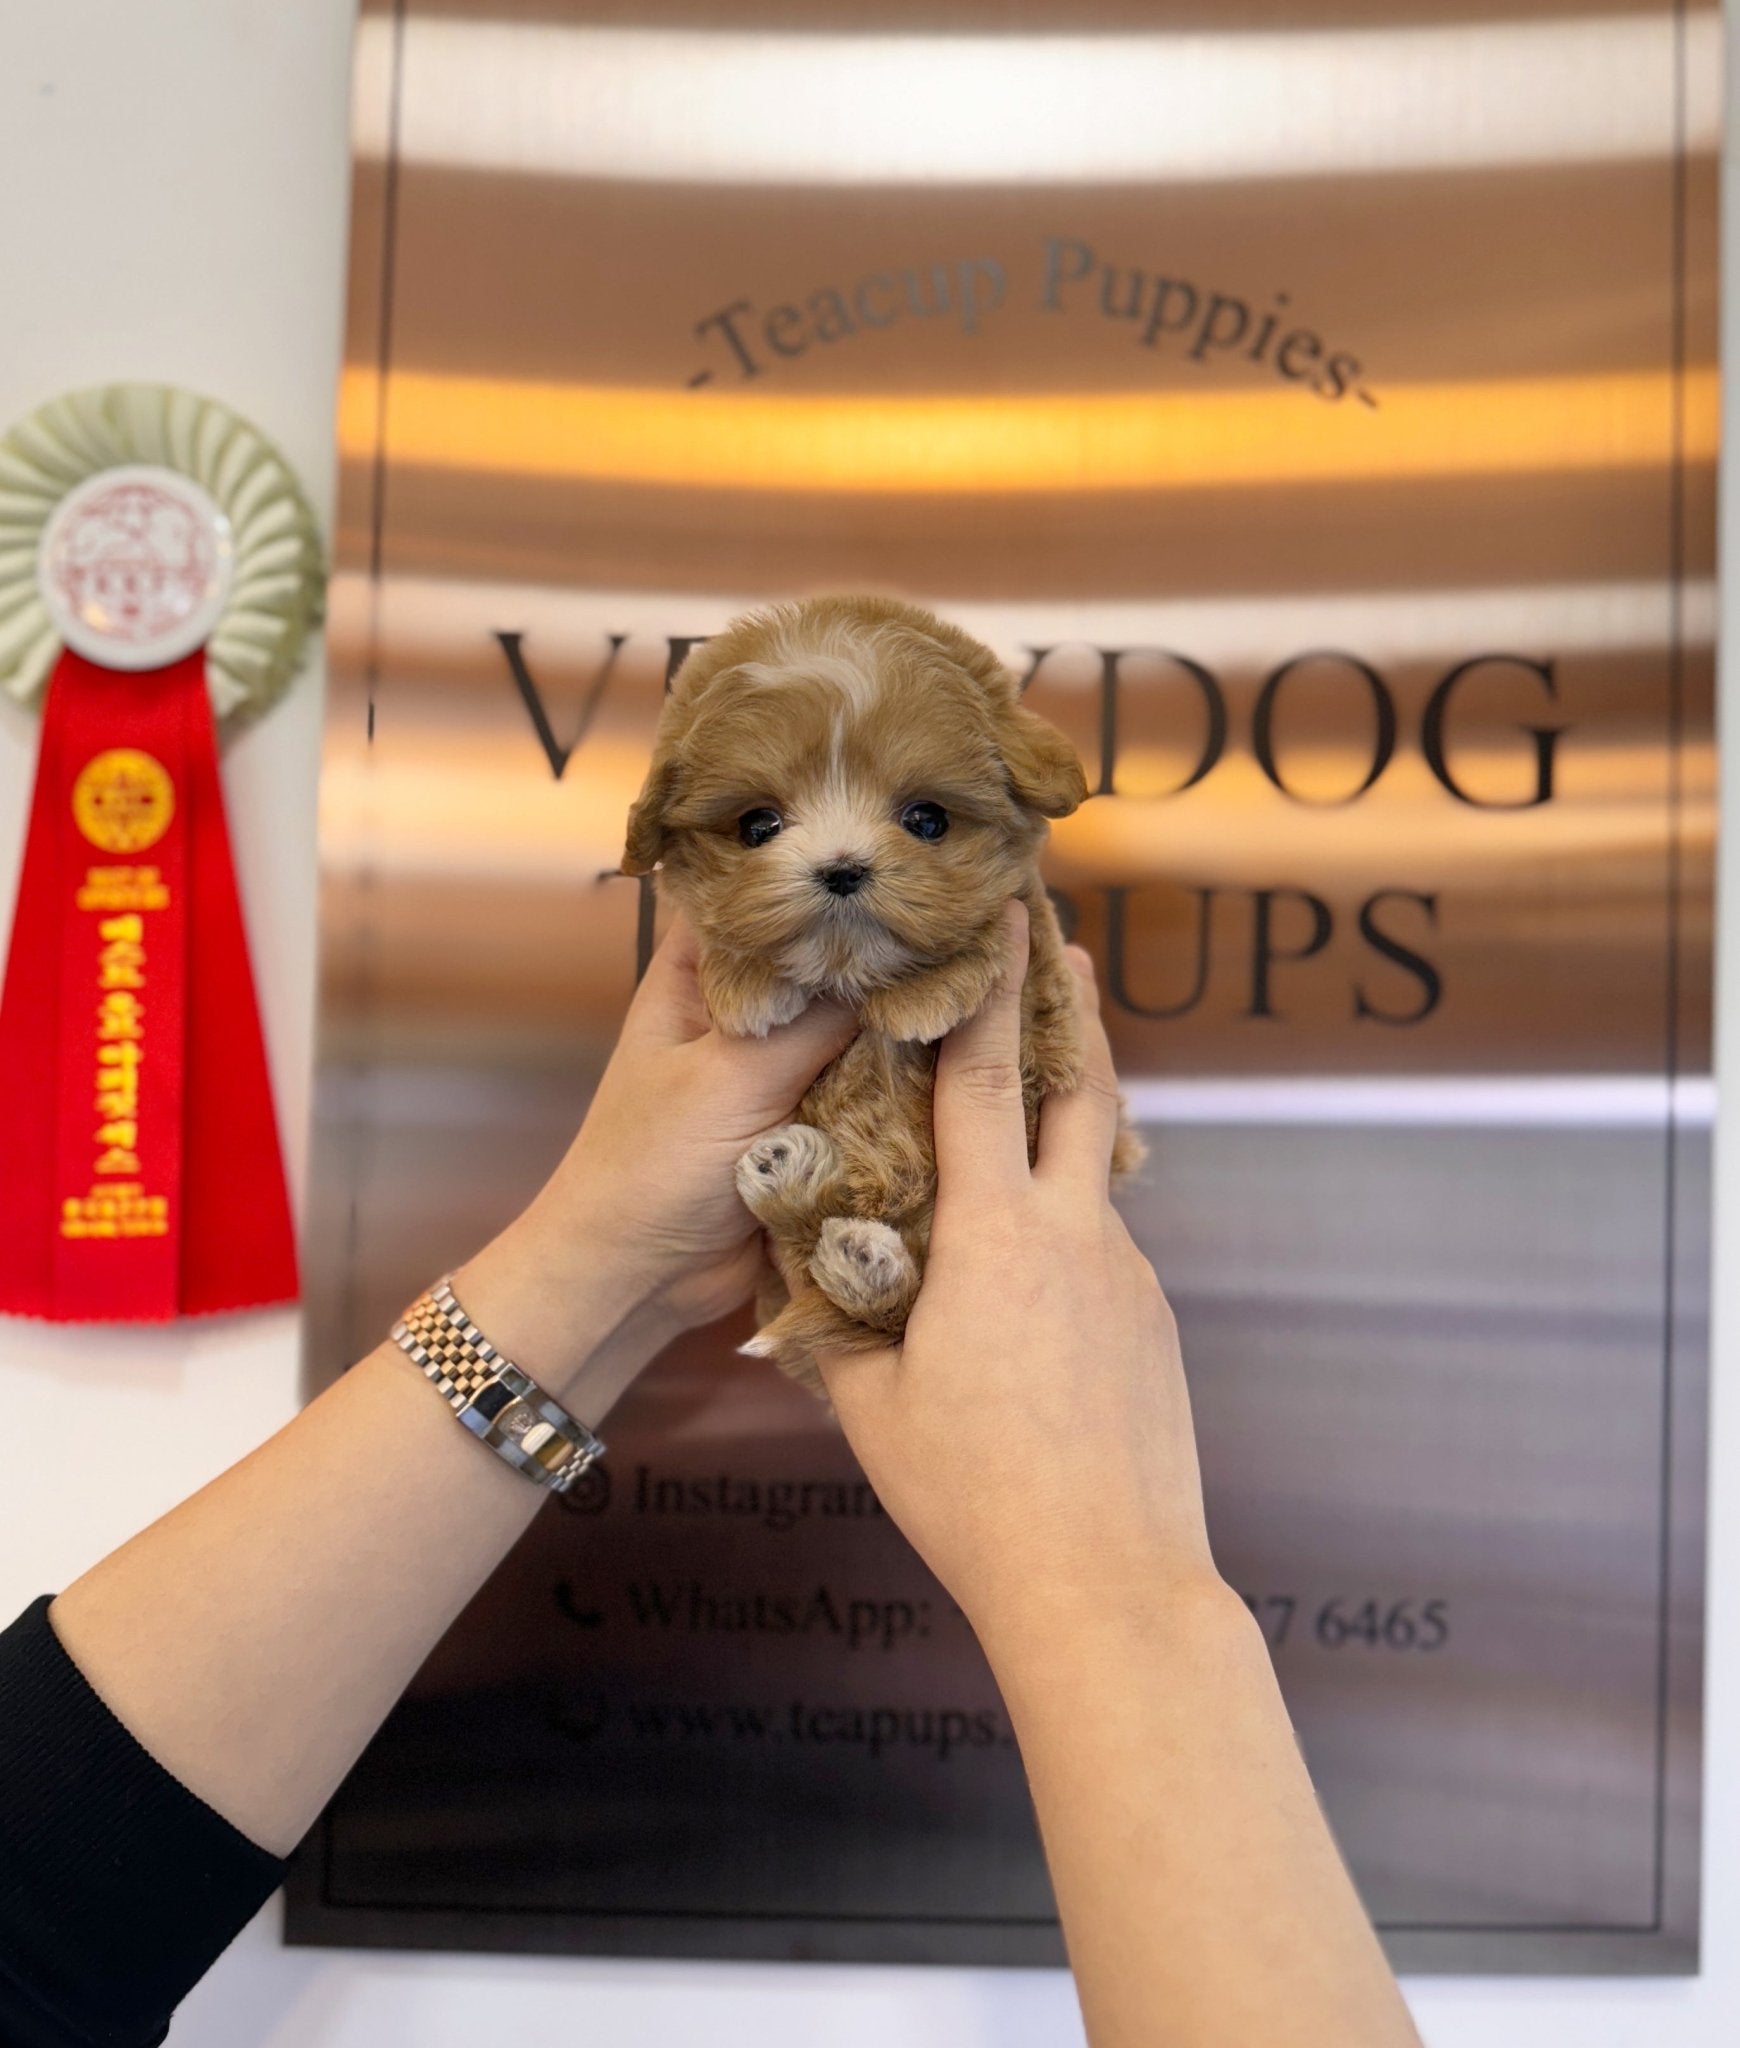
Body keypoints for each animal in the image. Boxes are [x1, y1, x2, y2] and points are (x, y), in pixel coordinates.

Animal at [622, 593, 1138, 1392]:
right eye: (757, 825)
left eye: (927, 819)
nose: (841, 868)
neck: (851, 973)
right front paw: (745, 981)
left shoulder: (1039, 968)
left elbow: (996, 937)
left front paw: (925, 993)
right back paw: (798, 1190)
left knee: (898, 1299)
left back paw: (864, 1257)